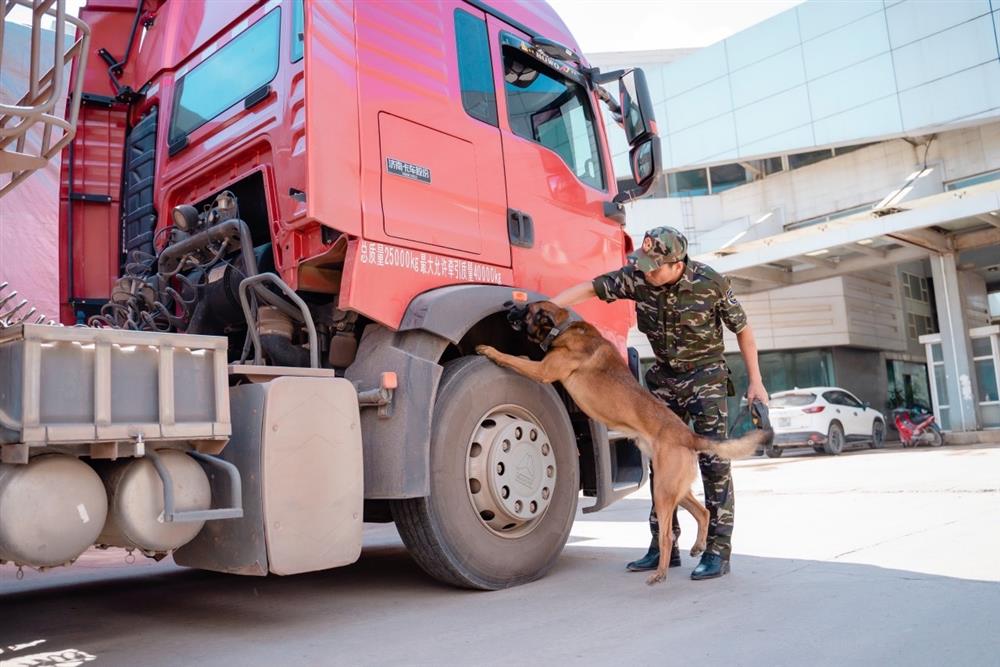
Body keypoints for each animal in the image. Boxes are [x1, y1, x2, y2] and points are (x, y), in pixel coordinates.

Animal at [472, 300, 768, 588]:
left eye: (526, 309)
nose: (508, 304)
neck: (562, 328)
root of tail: (688, 435)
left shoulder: (544, 370)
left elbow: (511, 358)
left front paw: (489, 349)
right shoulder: (542, 366)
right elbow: (520, 358)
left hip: (663, 491)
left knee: (668, 535)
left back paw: (660, 573)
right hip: (671, 487)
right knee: (704, 512)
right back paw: (696, 548)